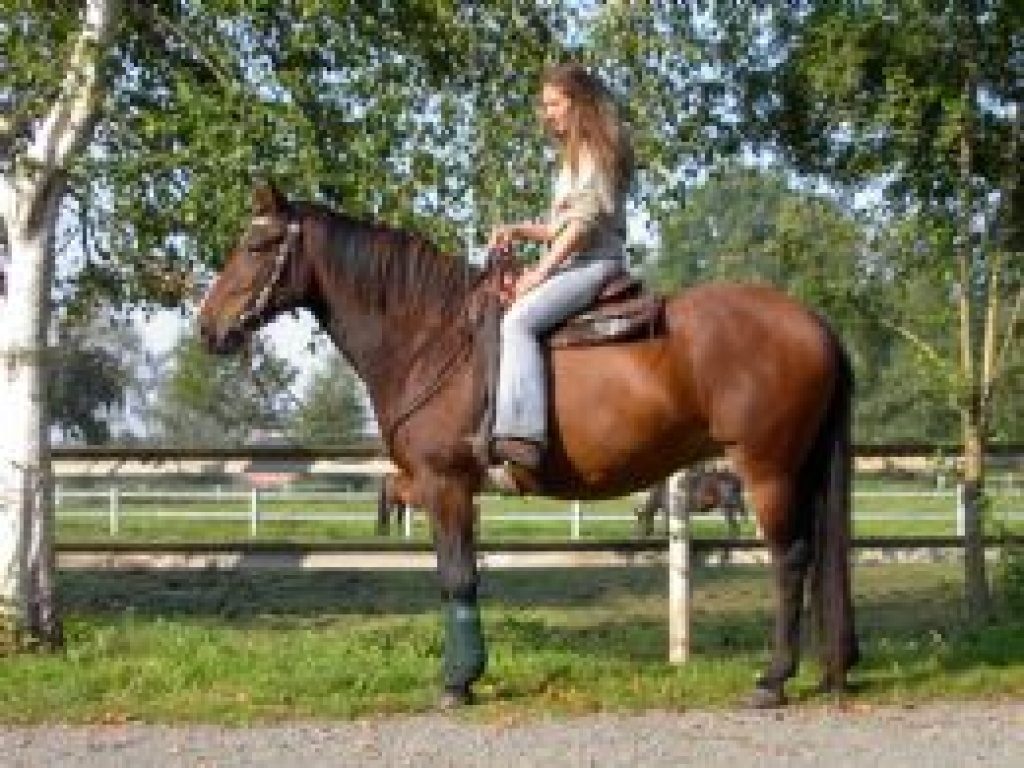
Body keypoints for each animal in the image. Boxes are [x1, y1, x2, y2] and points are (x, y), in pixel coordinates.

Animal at [199, 182, 858, 709]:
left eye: (256, 247)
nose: (208, 327)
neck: (432, 341)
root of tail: (815, 324)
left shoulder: (445, 484)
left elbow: (458, 578)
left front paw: (458, 682)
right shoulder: (450, 489)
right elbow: (456, 572)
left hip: (768, 471)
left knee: (790, 561)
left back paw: (772, 681)